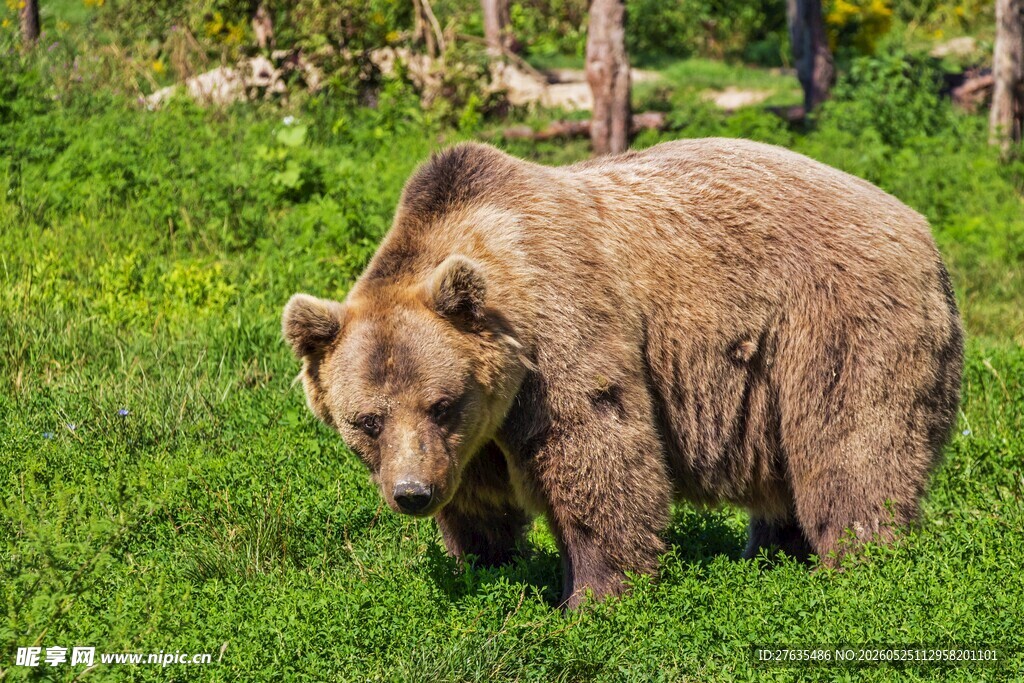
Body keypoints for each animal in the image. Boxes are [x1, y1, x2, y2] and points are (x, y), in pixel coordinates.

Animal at [282, 138, 963, 609]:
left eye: (441, 402)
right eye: (367, 421)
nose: (412, 493)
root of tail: (922, 229)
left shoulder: (560, 335)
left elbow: (598, 455)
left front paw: (592, 597)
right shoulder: (473, 437)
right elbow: (479, 504)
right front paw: (487, 566)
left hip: (835, 324)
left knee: (851, 449)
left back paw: (858, 564)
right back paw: (770, 555)